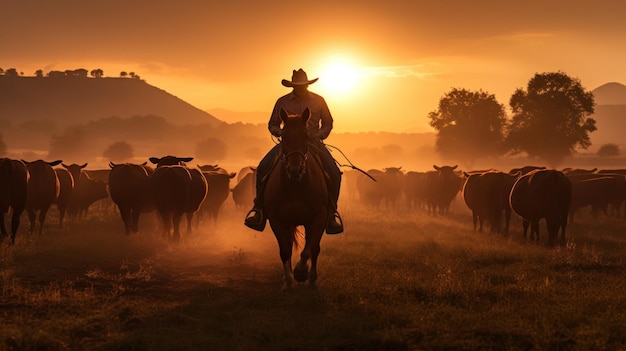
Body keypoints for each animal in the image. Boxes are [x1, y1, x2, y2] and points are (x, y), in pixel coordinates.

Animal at [264, 108, 330, 290]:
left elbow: (310, 249)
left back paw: (311, 277)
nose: (295, 170)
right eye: (284, 136)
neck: (296, 188)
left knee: (314, 248)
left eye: (306, 136)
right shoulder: (277, 220)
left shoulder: (318, 217)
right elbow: (285, 250)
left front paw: (302, 272)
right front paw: (288, 280)